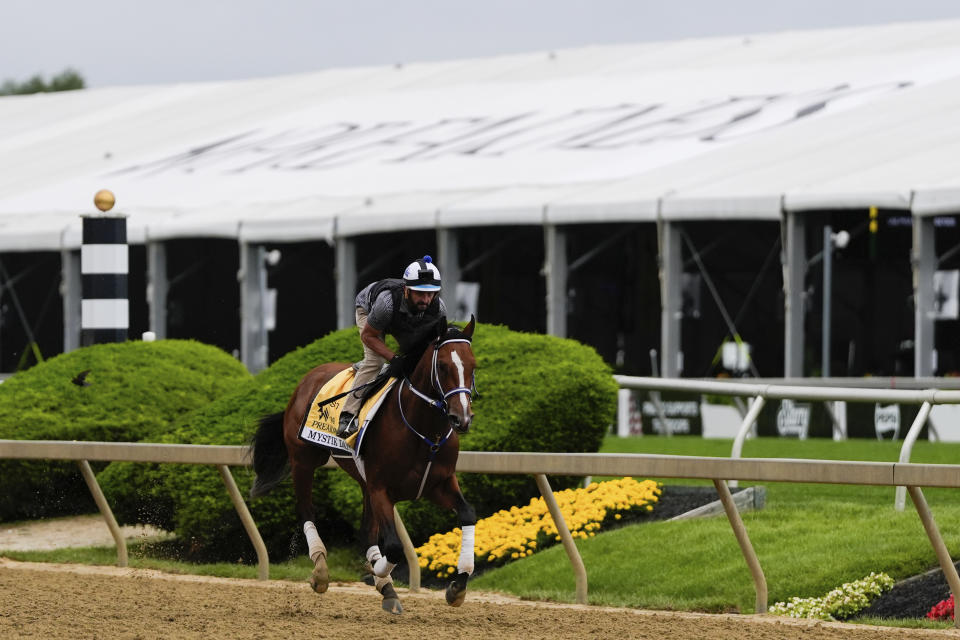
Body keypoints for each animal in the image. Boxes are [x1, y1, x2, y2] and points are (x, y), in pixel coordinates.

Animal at [249, 316, 478, 616]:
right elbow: (392, 546)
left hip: (361, 479)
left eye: (473, 366)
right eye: (442, 366)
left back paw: (386, 588)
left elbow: (468, 514)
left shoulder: (437, 484)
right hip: (304, 460)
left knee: (365, 532)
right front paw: (378, 573)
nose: (461, 418)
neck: (424, 432)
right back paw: (321, 570)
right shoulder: (381, 488)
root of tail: (309, 377)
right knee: (307, 511)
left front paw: (457, 586)